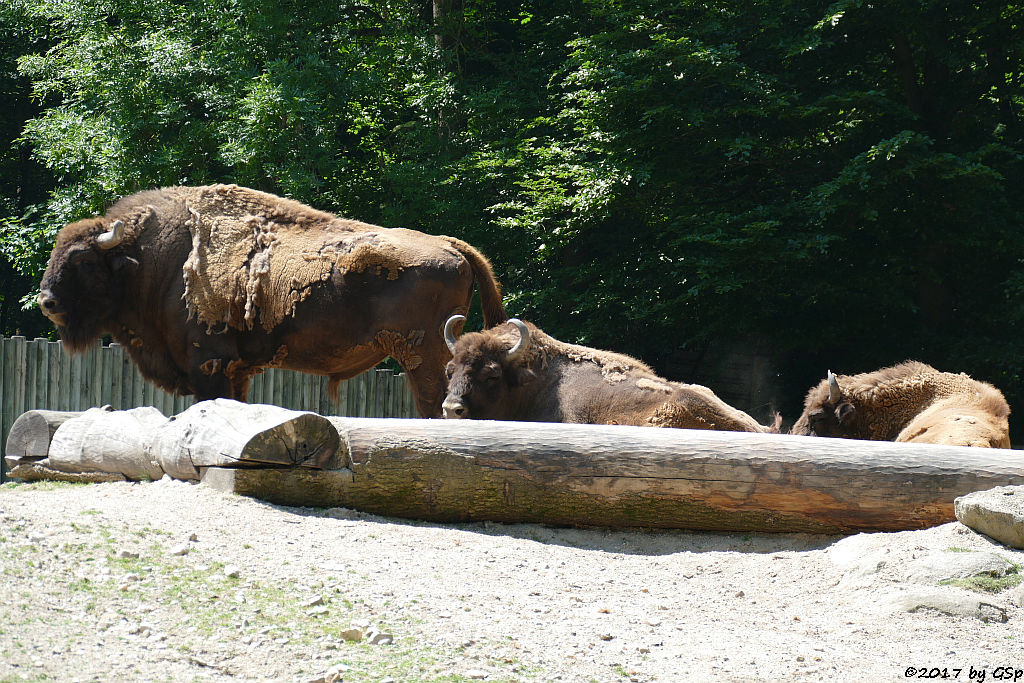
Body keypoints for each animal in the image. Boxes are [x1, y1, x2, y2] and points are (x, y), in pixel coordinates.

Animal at [38, 183, 507, 417]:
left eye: (82, 261)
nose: (47, 302)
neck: (154, 260)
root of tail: (450, 246)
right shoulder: (237, 369)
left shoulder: (209, 362)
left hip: (421, 355)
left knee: (436, 404)